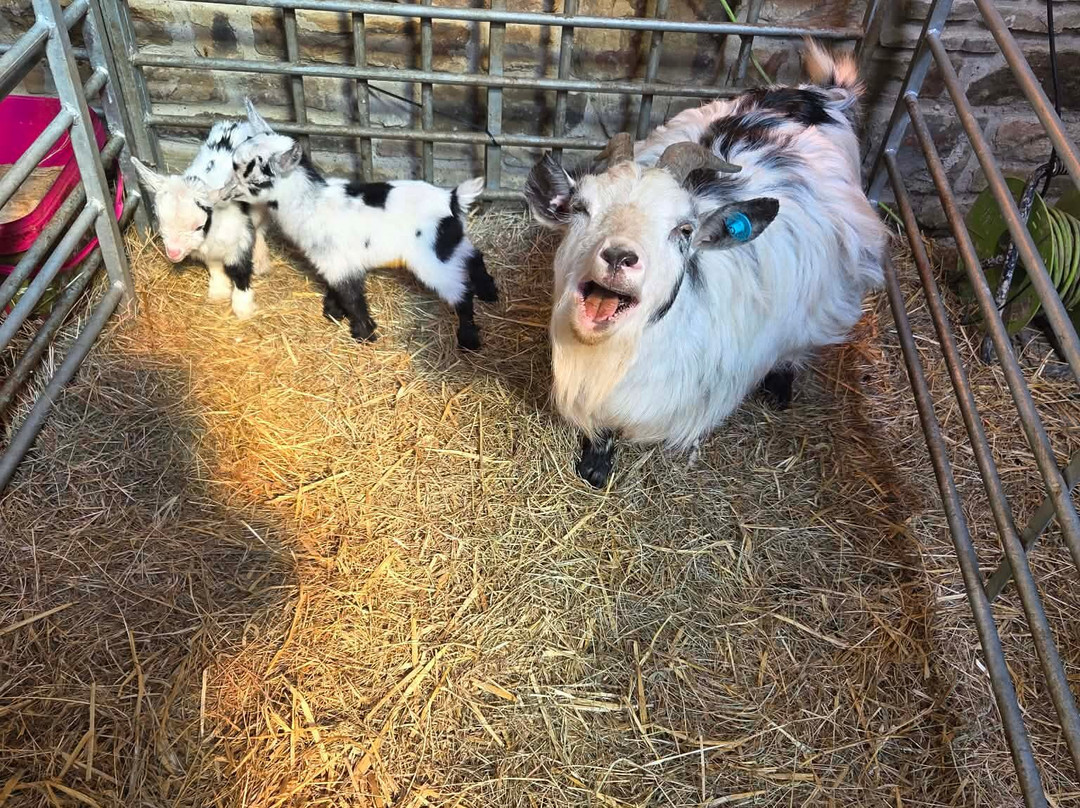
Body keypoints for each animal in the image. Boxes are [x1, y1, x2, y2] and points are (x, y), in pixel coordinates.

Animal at [131, 119, 272, 320]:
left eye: (199, 226)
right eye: (159, 220)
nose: (173, 253)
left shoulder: (238, 242)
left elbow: (239, 271)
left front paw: (243, 309)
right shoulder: (210, 253)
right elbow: (215, 268)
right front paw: (219, 292)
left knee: (260, 228)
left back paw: (260, 261)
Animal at [219, 101, 498, 350]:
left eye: (253, 180)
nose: (222, 193)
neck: (311, 201)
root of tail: (451, 198)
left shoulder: (336, 261)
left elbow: (351, 296)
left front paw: (364, 334)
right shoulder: (339, 260)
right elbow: (337, 289)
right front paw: (334, 312)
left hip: (433, 259)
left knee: (461, 292)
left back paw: (468, 339)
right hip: (450, 244)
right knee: (474, 256)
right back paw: (489, 292)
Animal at [525, 40, 887, 488]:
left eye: (683, 230)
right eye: (580, 208)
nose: (619, 256)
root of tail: (822, 94)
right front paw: (594, 463)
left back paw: (781, 385)